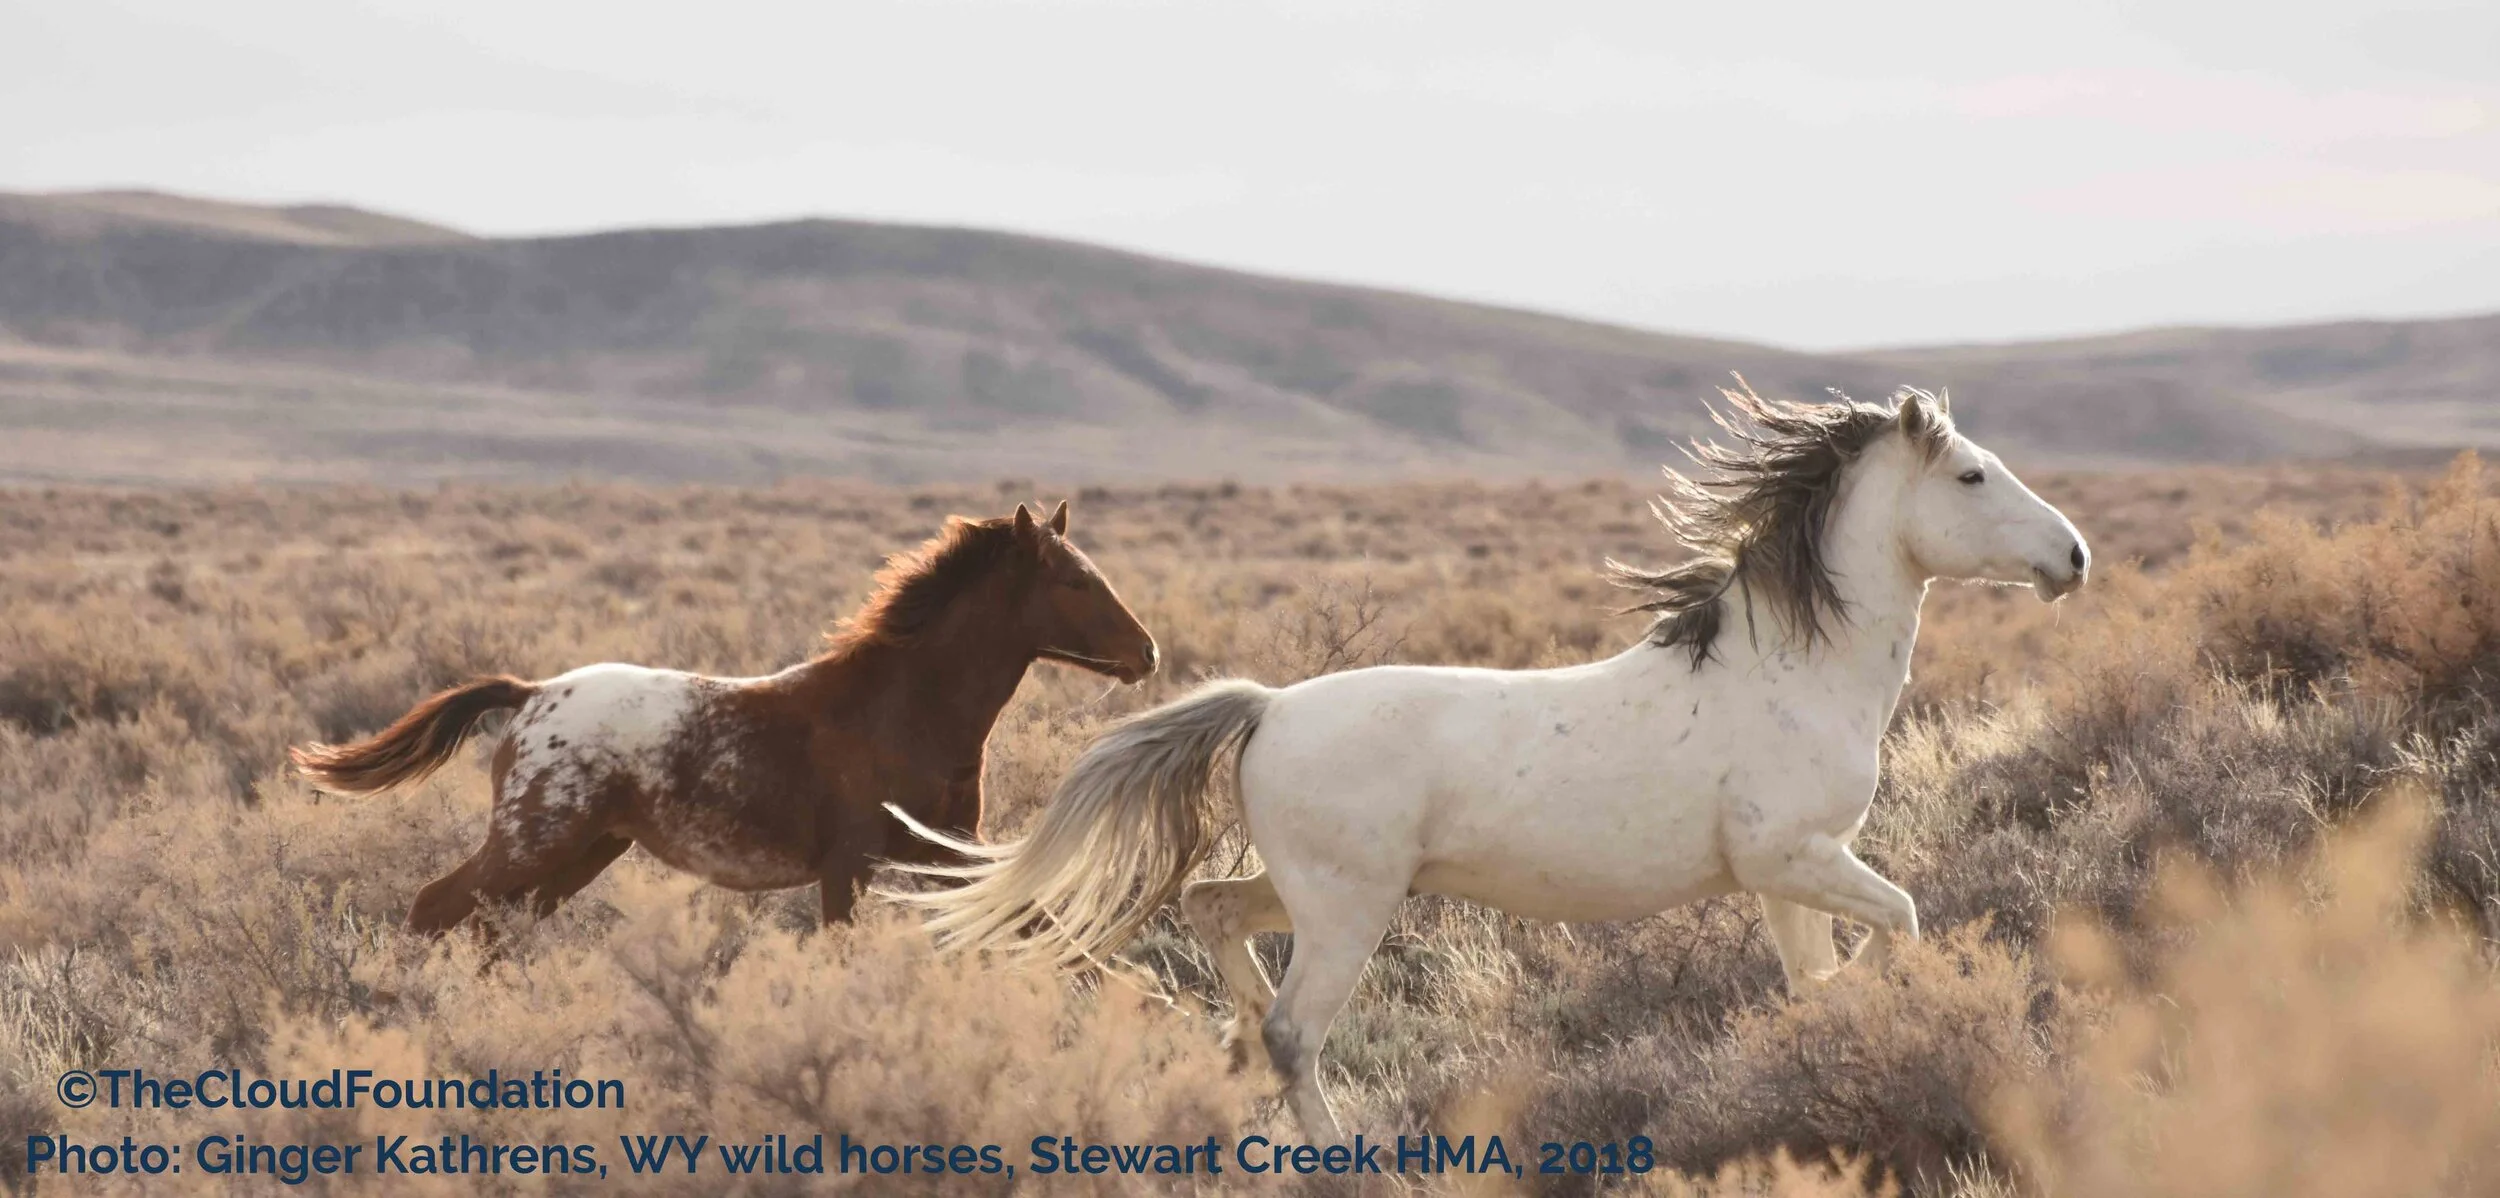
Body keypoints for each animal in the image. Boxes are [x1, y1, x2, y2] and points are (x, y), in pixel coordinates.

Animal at [289, 501, 1158, 935]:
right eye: (1075, 580)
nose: (1146, 652)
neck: (902, 709)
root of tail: (531, 694)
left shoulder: (949, 850)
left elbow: (1018, 918)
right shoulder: (849, 866)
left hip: (584, 852)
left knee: (493, 928)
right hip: (536, 841)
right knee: (436, 907)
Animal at [886, 387, 2089, 1142]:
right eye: (1971, 475)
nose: (2072, 556)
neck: (1792, 669)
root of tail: (1268, 707)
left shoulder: (1784, 876)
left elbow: (1817, 983)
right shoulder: (1795, 855)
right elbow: (1905, 921)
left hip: (1311, 890)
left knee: (1213, 909)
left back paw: (1227, 1055)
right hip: (1348, 909)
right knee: (1294, 1028)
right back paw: (1341, 1153)